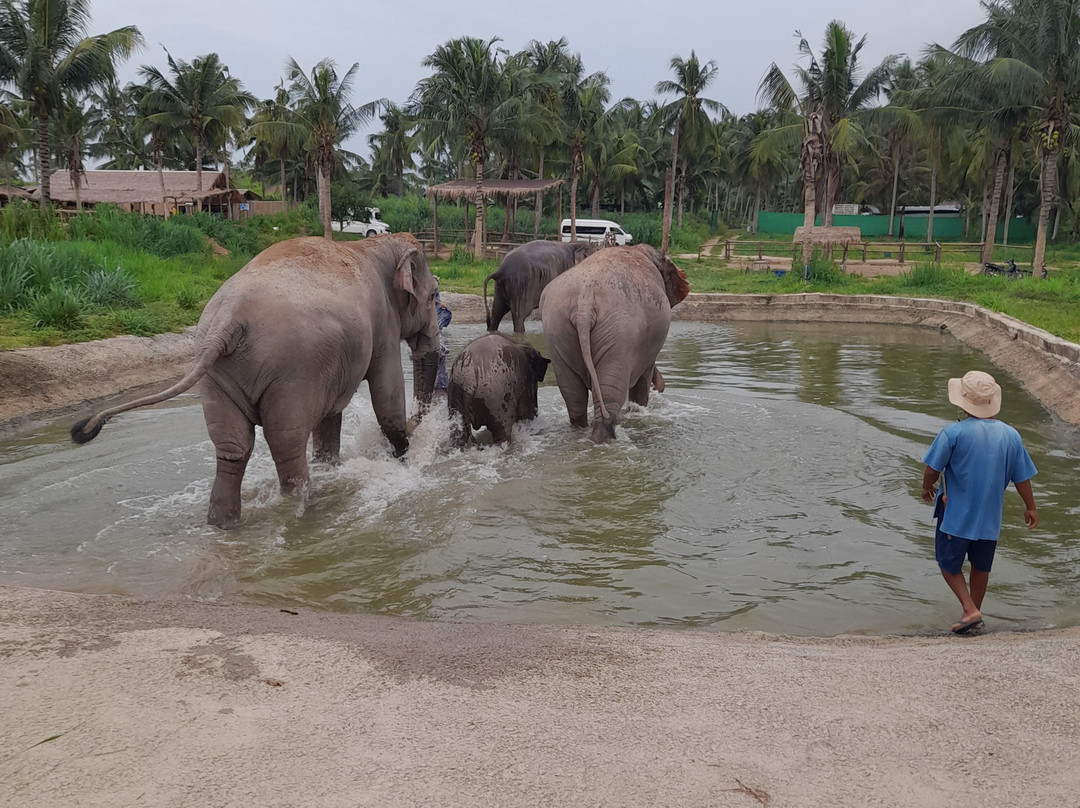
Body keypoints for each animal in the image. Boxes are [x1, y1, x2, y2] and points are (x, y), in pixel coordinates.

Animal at [70, 234, 441, 529]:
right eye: (435, 296)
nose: (421, 431)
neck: (376, 244)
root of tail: (228, 321)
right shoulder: (381, 329)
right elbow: (386, 397)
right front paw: (404, 457)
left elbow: (331, 414)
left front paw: (333, 465)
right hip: (293, 370)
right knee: (286, 446)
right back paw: (300, 512)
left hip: (216, 375)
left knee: (233, 449)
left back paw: (222, 526)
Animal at [538, 244, 690, 443]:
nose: (661, 388)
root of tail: (584, 301)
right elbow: (643, 378)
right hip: (619, 336)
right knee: (610, 394)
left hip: (557, 328)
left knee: (573, 395)